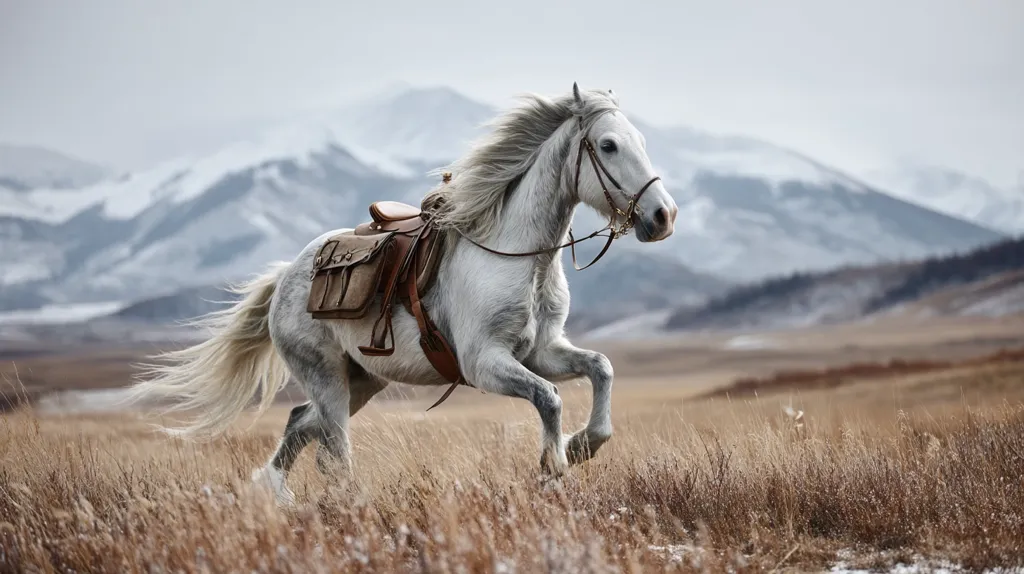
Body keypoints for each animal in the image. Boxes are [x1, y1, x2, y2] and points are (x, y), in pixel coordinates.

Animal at [129, 82, 678, 504]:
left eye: (639, 140)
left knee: (301, 423)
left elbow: (600, 367)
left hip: (361, 381)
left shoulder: (541, 351)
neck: (517, 256)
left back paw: (273, 494)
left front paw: (584, 444)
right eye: (608, 145)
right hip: (328, 379)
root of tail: (286, 276)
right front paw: (555, 464)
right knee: (332, 451)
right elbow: (549, 397)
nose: (663, 217)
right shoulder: (485, 363)